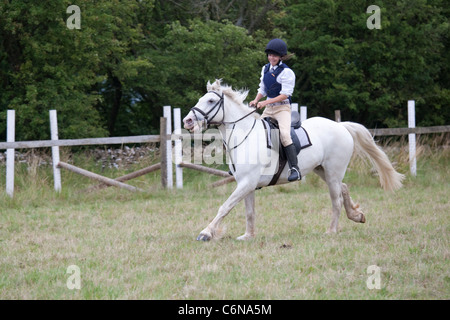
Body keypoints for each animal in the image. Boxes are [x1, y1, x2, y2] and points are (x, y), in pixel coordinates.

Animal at [183, 80, 404, 240]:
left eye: (211, 101)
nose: (188, 121)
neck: (245, 135)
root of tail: (341, 126)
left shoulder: (247, 183)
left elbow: (225, 207)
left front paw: (206, 232)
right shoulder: (246, 185)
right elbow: (249, 211)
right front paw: (248, 236)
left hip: (333, 172)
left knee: (336, 200)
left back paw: (331, 231)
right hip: (322, 170)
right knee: (344, 188)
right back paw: (356, 215)